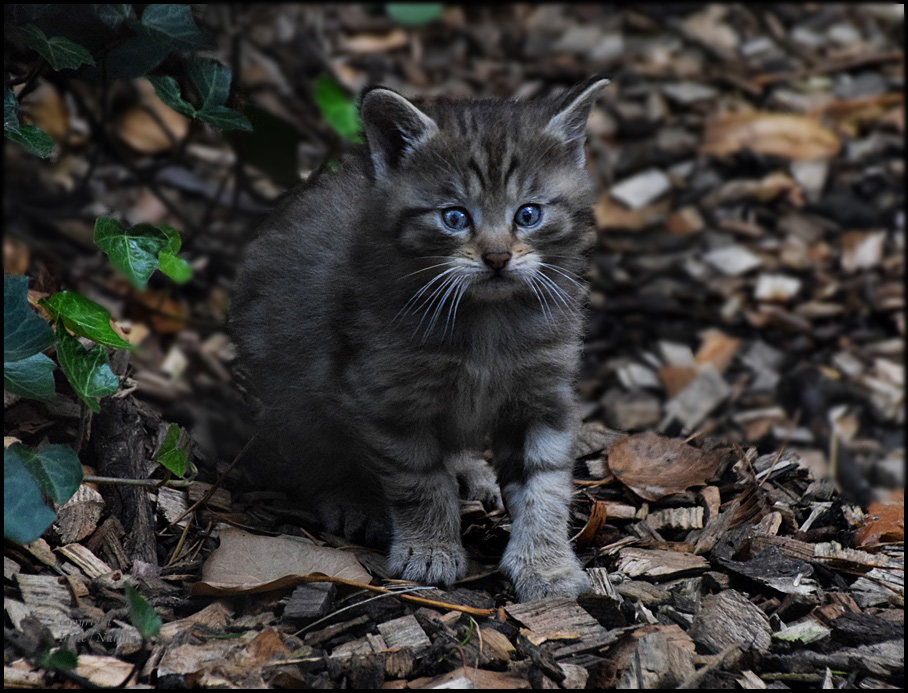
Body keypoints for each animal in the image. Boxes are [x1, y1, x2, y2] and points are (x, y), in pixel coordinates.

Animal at [229, 73, 612, 596]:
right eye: (455, 217)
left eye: (528, 214)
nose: (497, 258)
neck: (486, 321)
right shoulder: (387, 397)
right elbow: (419, 481)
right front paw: (429, 550)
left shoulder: (543, 394)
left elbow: (546, 483)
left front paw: (546, 565)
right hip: (288, 382)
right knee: (309, 449)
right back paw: (354, 500)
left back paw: (472, 473)